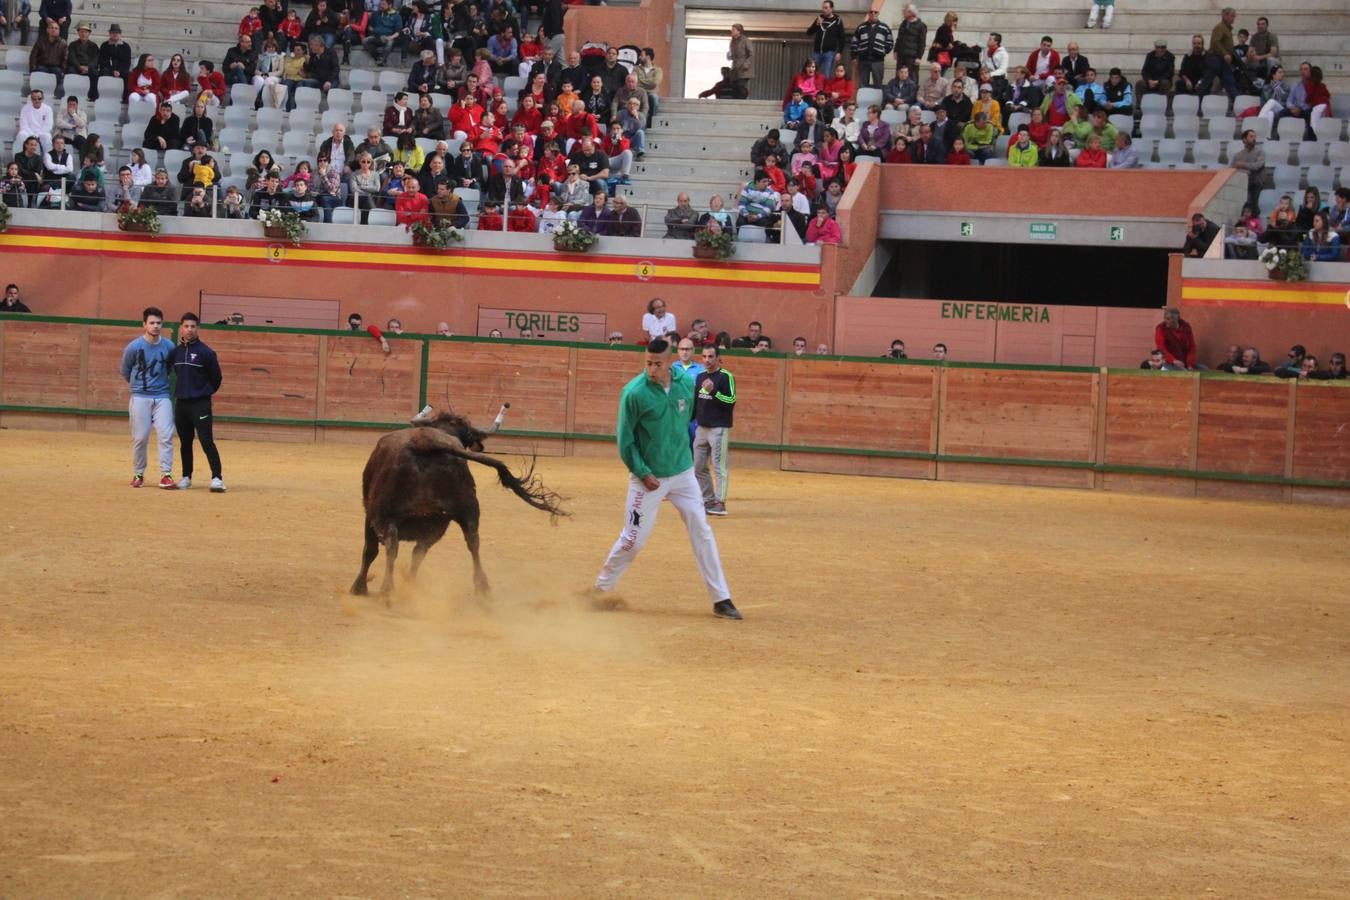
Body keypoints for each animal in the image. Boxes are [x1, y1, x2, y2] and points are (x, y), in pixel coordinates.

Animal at [353, 404, 564, 601]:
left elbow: (370, 551)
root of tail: (426, 441)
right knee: (472, 542)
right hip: (463, 512)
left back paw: (385, 591)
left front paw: (359, 588)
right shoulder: (437, 526)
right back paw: (482, 589)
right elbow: (418, 553)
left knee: (390, 547)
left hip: (384, 514)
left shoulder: (370, 517)